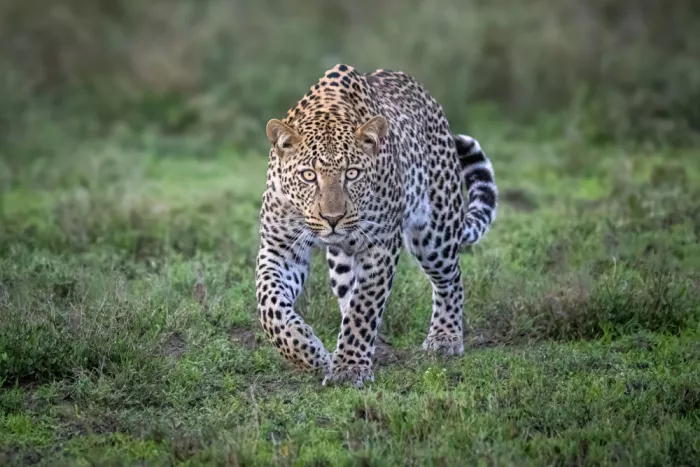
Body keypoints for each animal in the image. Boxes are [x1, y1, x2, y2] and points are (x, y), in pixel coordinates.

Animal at [255, 64, 498, 388]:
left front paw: (349, 367)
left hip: (436, 232)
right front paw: (310, 352)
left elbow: (364, 307)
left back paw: (445, 337)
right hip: (342, 260)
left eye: (352, 174)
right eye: (308, 175)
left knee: (451, 279)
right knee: (347, 291)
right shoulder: (279, 248)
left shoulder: (380, 245)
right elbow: (269, 306)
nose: (333, 218)